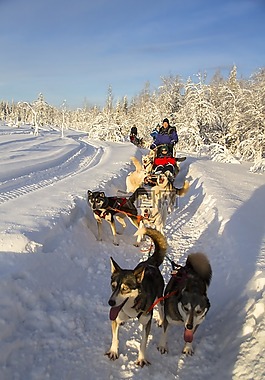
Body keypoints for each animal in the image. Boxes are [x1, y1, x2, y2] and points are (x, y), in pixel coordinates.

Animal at [104, 227, 165, 366]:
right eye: (113, 286)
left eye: (125, 289)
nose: (110, 302)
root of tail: (149, 263)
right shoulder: (115, 317)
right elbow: (115, 337)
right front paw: (113, 351)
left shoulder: (146, 323)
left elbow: (143, 343)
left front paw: (141, 358)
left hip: (160, 297)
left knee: (161, 308)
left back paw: (161, 320)